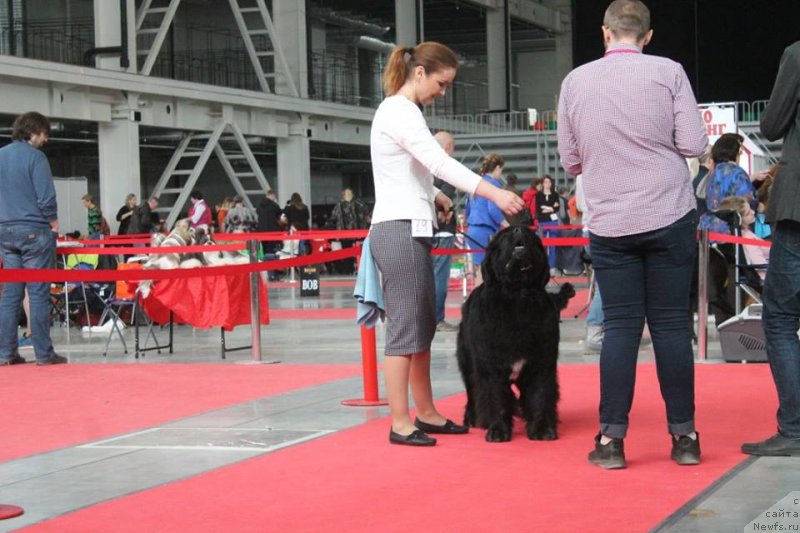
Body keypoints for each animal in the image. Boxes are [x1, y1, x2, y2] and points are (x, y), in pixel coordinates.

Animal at [456, 225, 576, 440]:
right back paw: (473, 419)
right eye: (504, 237)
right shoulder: (491, 367)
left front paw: (542, 430)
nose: (519, 229)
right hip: (468, 363)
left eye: (530, 235)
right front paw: (498, 431)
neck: (518, 296)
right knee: (472, 389)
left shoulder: (540, 364)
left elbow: (540, 395)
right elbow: (495, 397)